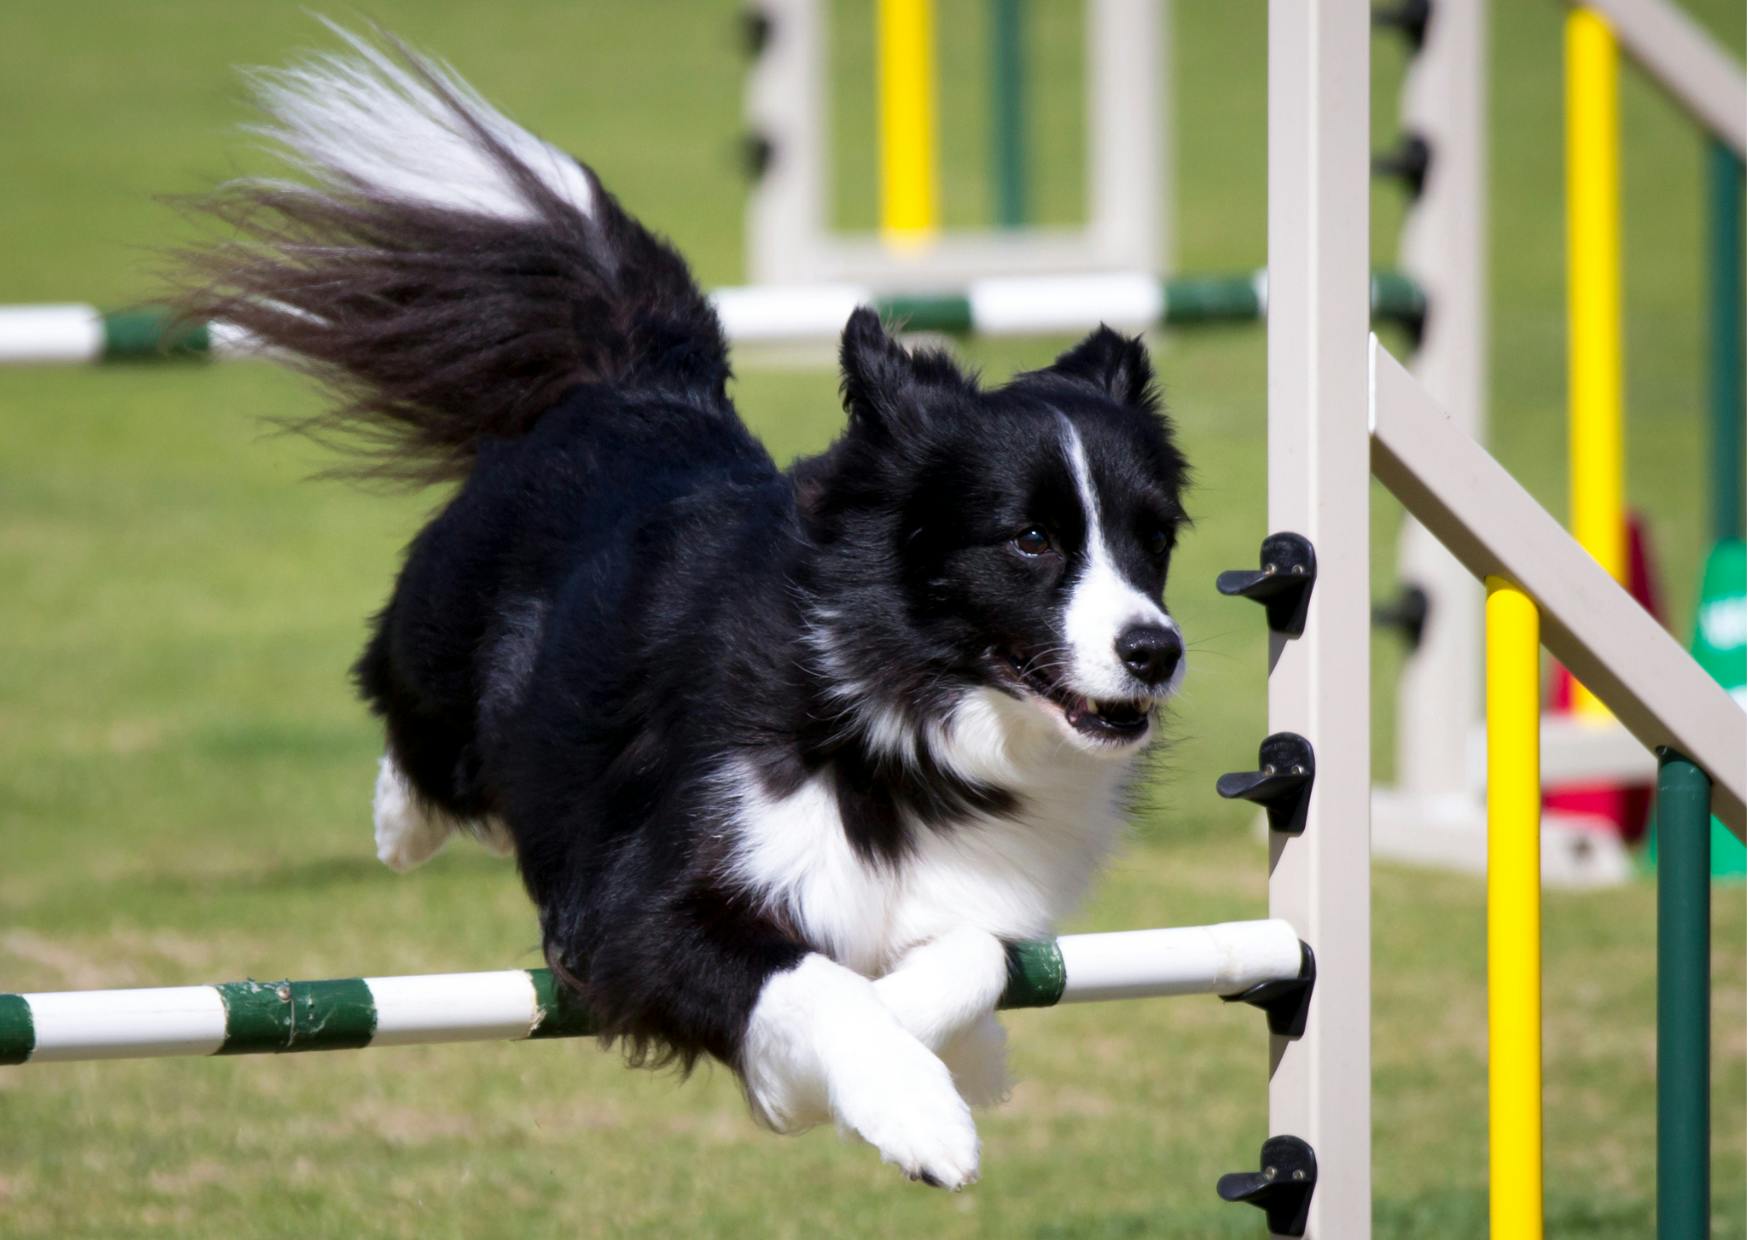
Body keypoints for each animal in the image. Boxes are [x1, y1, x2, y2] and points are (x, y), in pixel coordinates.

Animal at [191, 31, 1188, 1189]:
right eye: (1029, 540)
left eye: (1153, 538)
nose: (1155, 651)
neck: (893, 710)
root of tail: (640, 382)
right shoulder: (637, 905)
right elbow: (812, 977)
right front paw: (910, 1108)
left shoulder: (965, 894)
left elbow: (968, 953)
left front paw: (949, 1057)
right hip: (448, 646)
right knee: (416, 719)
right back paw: (402, 822)